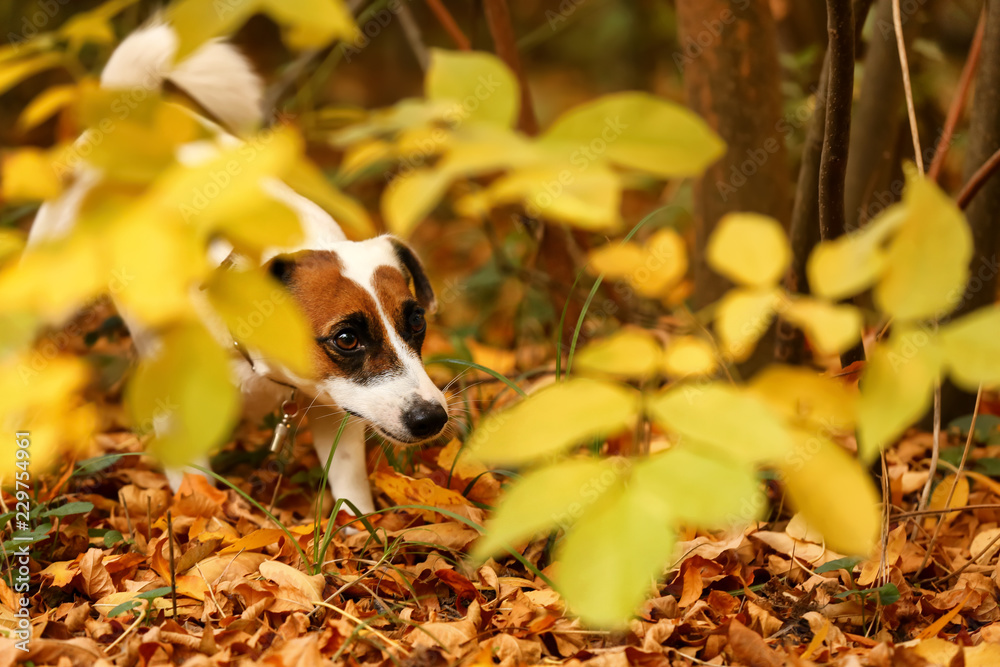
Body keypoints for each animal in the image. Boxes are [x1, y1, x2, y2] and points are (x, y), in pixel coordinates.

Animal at [26, 22, 450, 516]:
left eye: (416, 320)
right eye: (346, 338)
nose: (431, 417)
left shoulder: (332, 410)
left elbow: (348, 485)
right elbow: (194, 491)